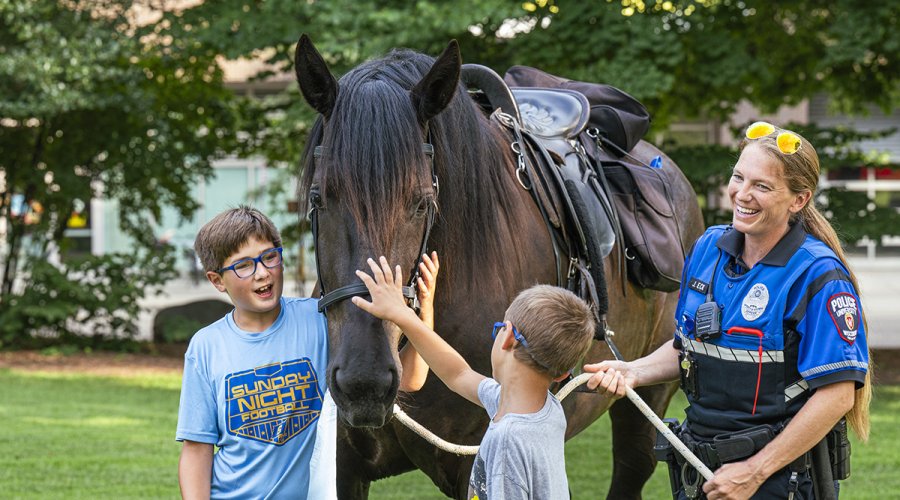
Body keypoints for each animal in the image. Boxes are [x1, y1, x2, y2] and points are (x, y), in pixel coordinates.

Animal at [294, 35, 705, 499]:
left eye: (422, 202)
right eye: (318, 198)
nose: (365, 383)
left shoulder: (476, 460)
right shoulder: (345, 467)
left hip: (648, 396)